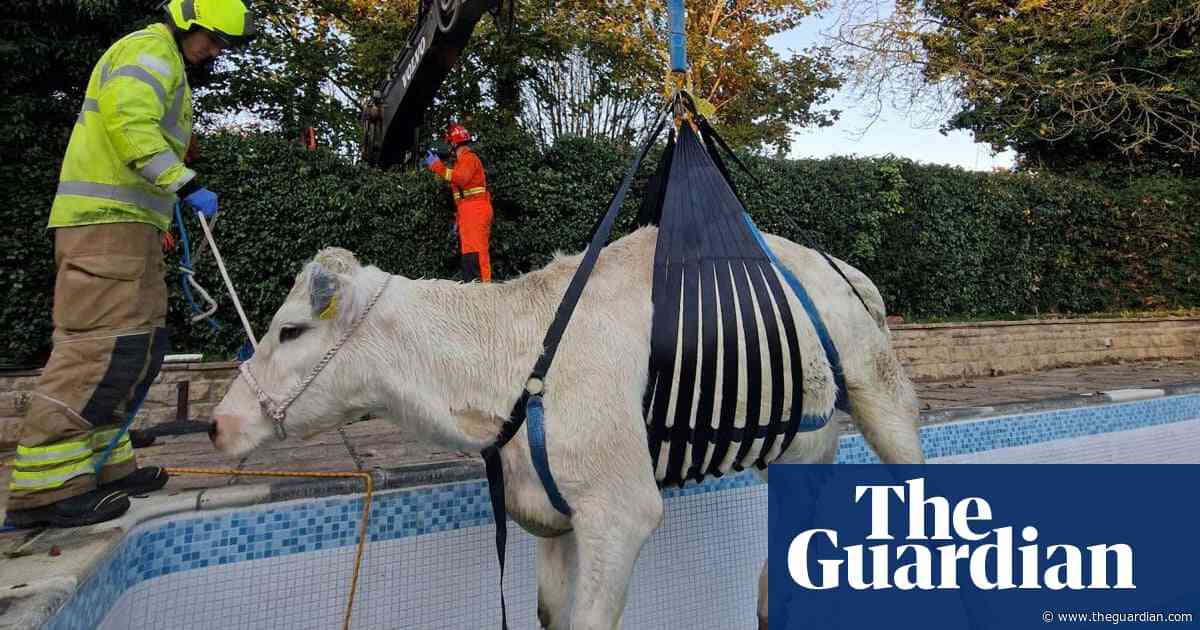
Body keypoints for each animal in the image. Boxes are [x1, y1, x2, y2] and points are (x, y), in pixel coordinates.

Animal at [211, 226, 921, 628]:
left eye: (290, 330)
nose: (218, 424)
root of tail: (841, 267)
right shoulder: (549, 511)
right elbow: (548, 615)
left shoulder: (621, 508)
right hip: (801, 444)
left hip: (881, 391)